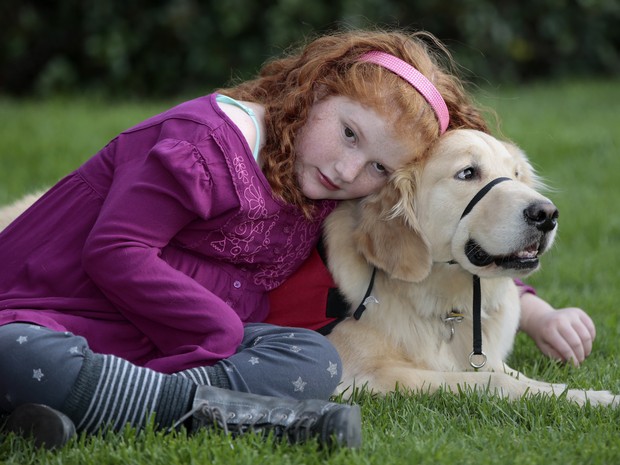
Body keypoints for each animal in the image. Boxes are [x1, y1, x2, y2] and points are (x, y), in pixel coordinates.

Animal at [326, 128, 616, 406]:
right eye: (467, 173)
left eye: (516, 174)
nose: (547, 214)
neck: (447, 308)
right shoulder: (370, 374)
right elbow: (497, 381)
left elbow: (527, 380)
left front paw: (592, 396)